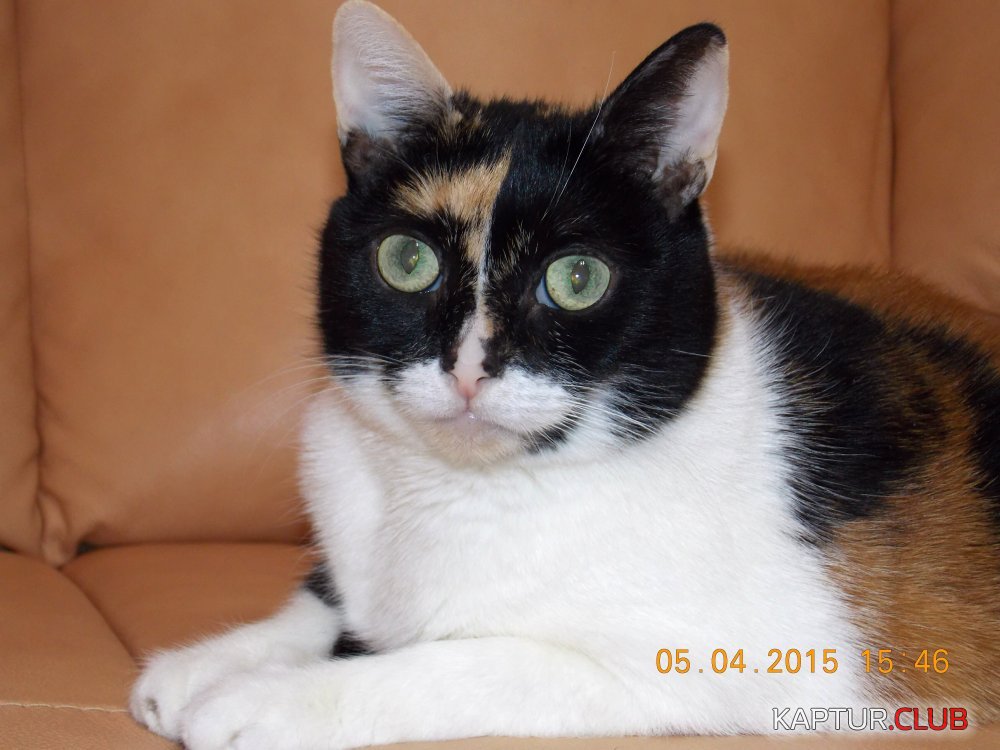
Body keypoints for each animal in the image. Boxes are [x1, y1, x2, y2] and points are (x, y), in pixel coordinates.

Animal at [130, 0, 1000, 747]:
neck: (450, 497)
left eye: (577, 278)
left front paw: (262, 701)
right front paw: (206, 664)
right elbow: (327, 602)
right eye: (407, 261)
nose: (469, 369)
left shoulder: (714, 666)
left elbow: (458, 663)